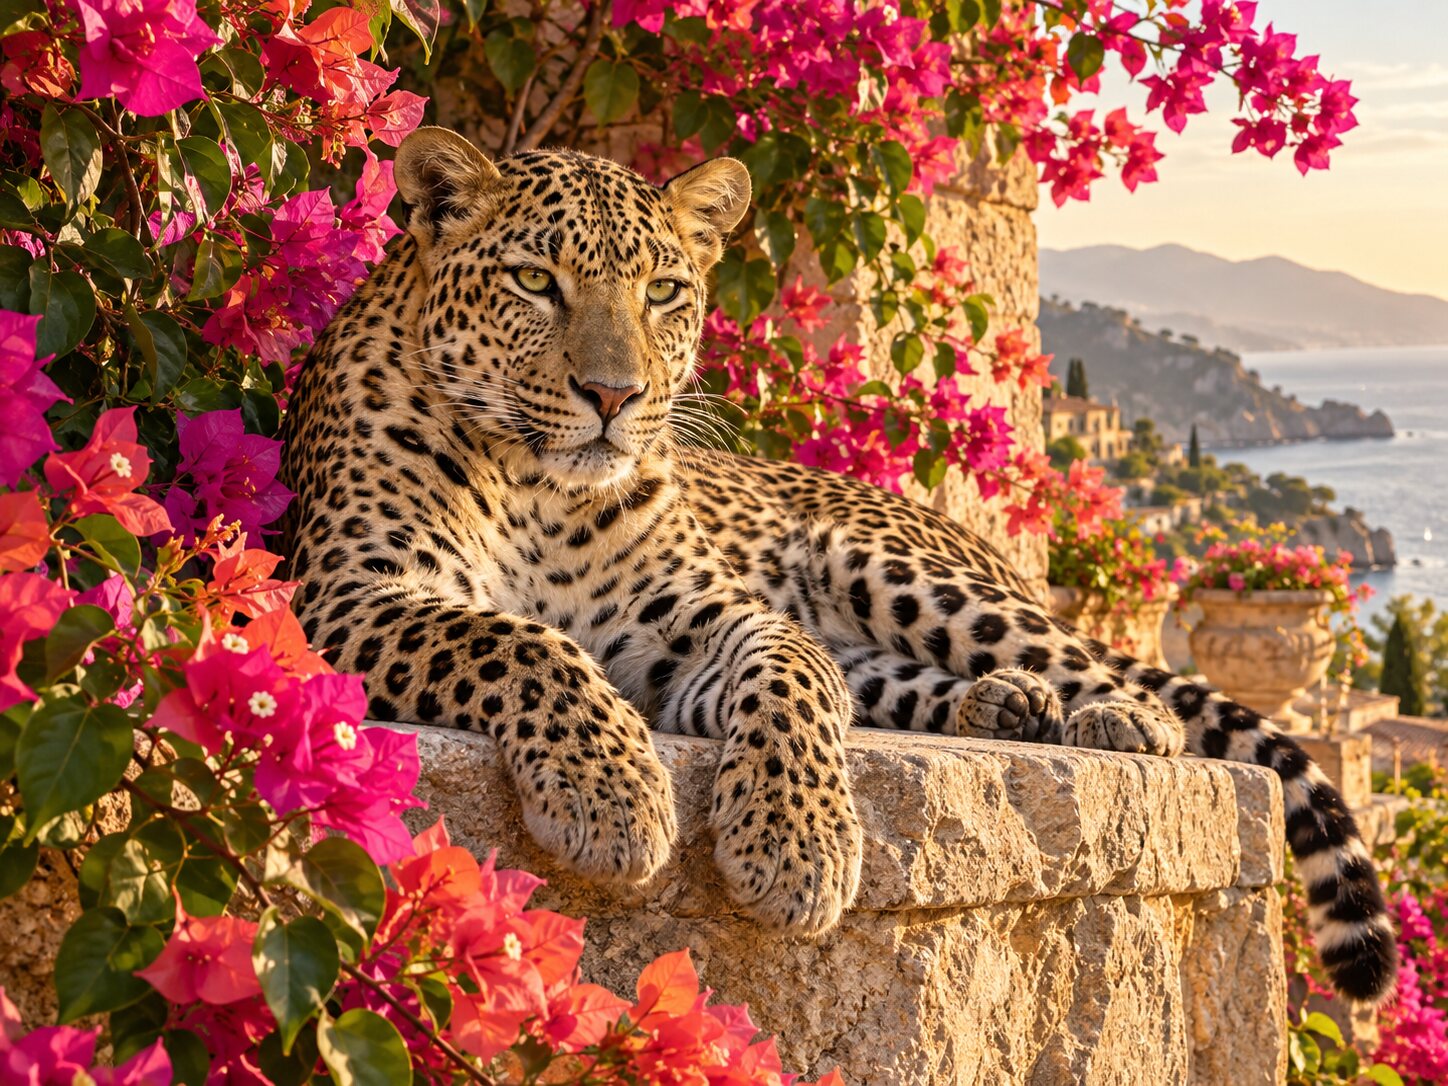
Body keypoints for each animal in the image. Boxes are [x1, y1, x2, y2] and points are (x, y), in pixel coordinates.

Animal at [280, 126, 1395, 1002]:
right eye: (533, 282)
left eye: (664, 292)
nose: (614, 395)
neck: (538, 490)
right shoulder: (344, 592)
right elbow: (524, 642)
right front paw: (614, 793)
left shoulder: (707, 620)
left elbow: (793, 672)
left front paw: (798, 842)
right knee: (896, 681)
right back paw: (1007, 708)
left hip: (890, 566)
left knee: (1083, 663)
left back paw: (1117, 717)